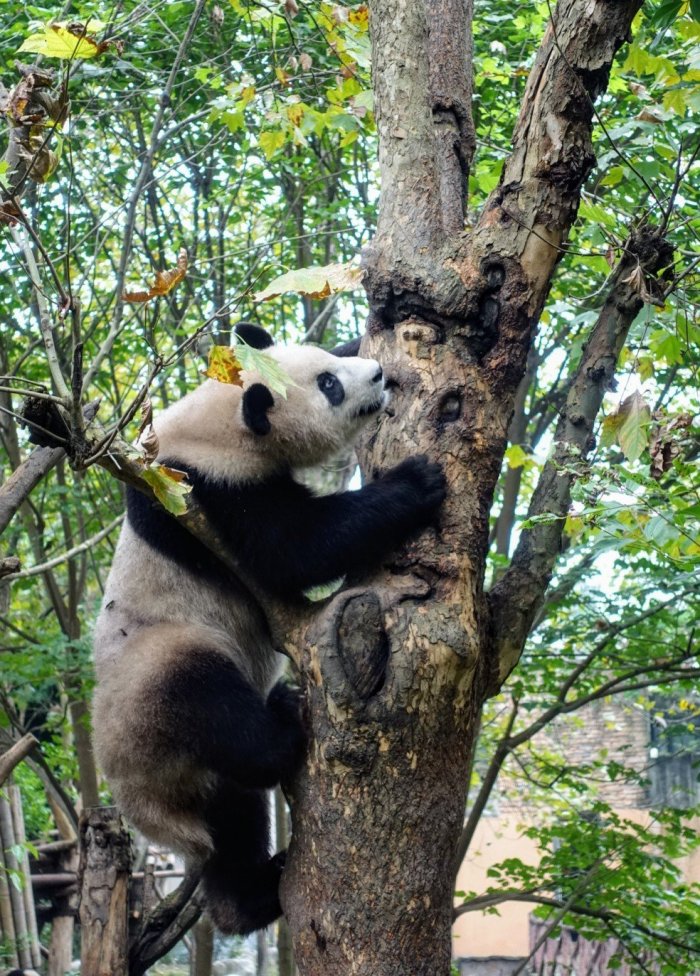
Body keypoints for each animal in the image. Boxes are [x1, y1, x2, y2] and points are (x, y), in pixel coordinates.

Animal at [87, 323, 446, 934]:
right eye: (328, 386)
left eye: (327, 360)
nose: (379, 374)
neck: (218, 419)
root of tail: (146, 810)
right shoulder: (207, 492)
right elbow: (296, 548)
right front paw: (416, 483)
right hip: (153, 674)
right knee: (209, 701)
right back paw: (282, 724)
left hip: (198, 782)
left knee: (232, 819)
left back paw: (248, 898)